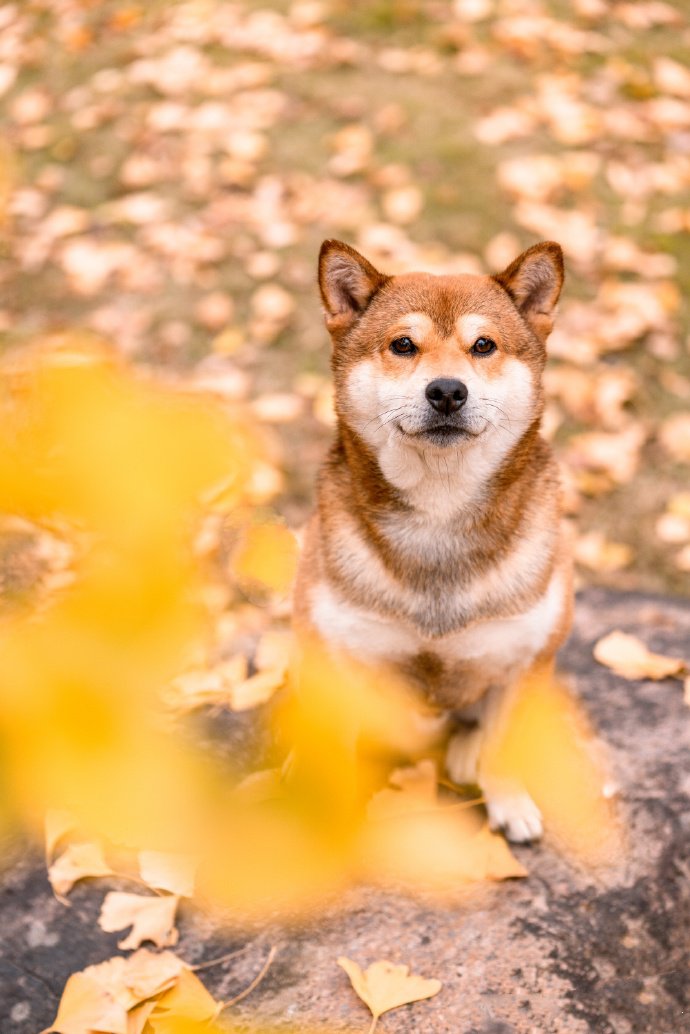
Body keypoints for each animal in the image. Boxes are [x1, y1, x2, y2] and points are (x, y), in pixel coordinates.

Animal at [293, 237, 575, 843]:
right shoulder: (332, 661)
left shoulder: (526, 658)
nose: (447, 390)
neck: (439, 515)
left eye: (484, 345)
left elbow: (503, 744)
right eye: (403, 344)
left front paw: (507, 798)